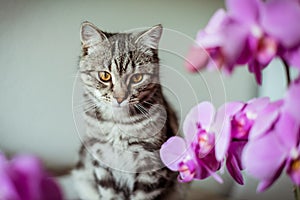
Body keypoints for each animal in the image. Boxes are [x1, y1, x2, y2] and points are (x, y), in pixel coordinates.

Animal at [72, 21, 185, 200]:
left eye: (137, 78)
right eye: (105, 76)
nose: (120, 97)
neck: (117, 123)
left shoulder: (152, 165)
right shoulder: (101, 159)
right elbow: (109, 194)